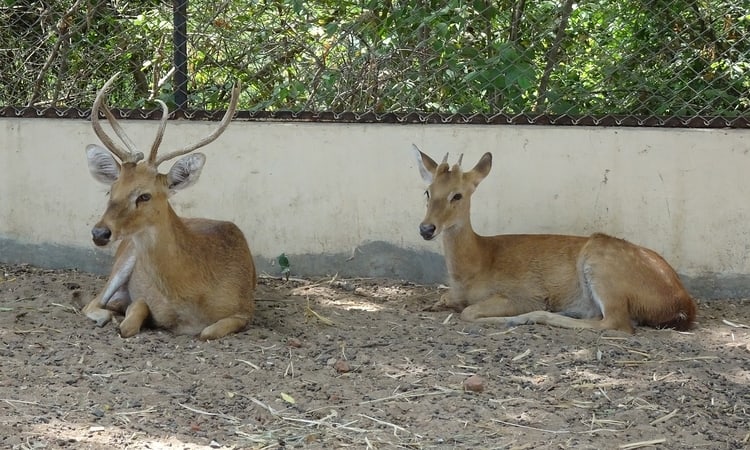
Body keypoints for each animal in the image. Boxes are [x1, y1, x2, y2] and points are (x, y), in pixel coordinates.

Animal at [82, 74, 258, 342]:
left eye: (145, 195)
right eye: (110, 191)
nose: (99, 233)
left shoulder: (244, 309)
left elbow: (207, 332)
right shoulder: (143, 297)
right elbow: (132, 318)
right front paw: (122, 320)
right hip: (125, 259)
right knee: (92, 303)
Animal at [414, 146, 696, 332]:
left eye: (457, 195)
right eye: (428, 192)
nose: (426, 228)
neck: (476, 266)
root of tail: (683, 304)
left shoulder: (523, 293)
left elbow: (469, 312)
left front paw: (507, 318)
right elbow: (446, 298)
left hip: (603, 265)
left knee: (617, 323)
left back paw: (535, 316)